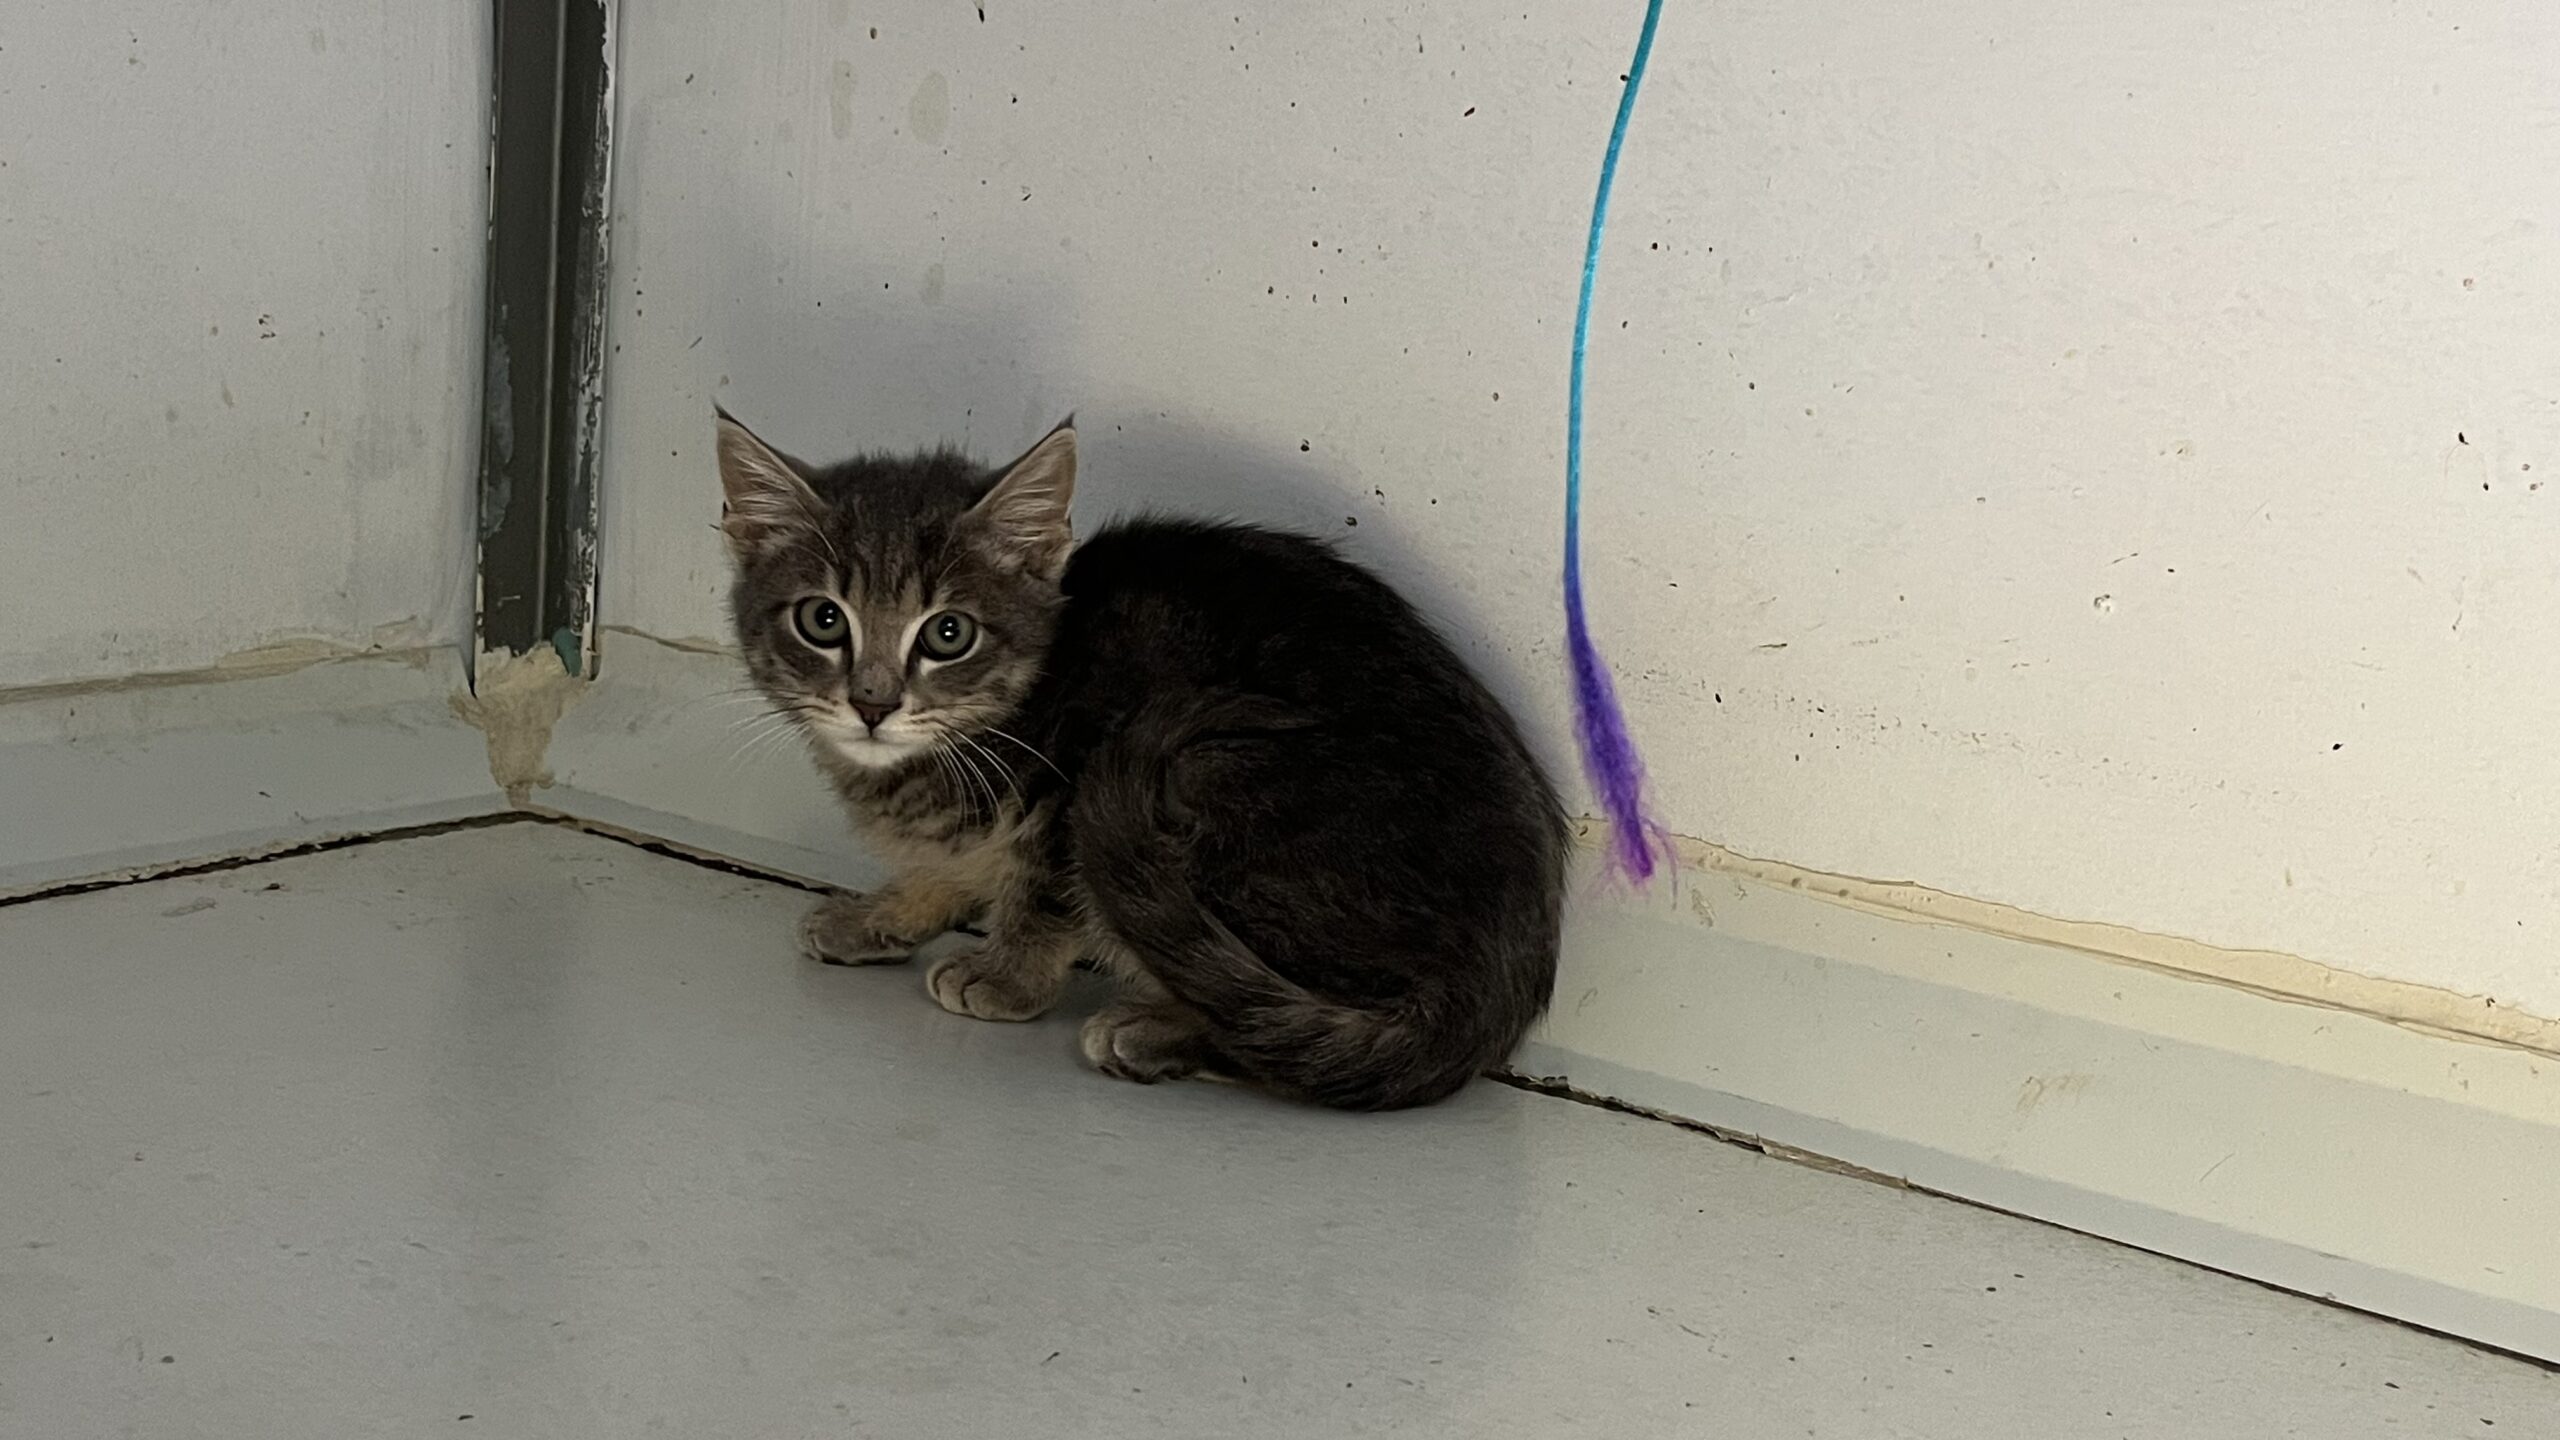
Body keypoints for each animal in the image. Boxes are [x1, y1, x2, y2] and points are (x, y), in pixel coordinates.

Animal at [715, 407, 1567, 1110]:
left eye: (948, 634)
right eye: (824, 621)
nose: (872, 703)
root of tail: (1496, 998)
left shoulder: (1070, 787)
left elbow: (1044, 893)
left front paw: (1008, 975)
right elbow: (949, 866)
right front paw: (886, 913)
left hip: (1203, 778)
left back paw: (1158, 1032)